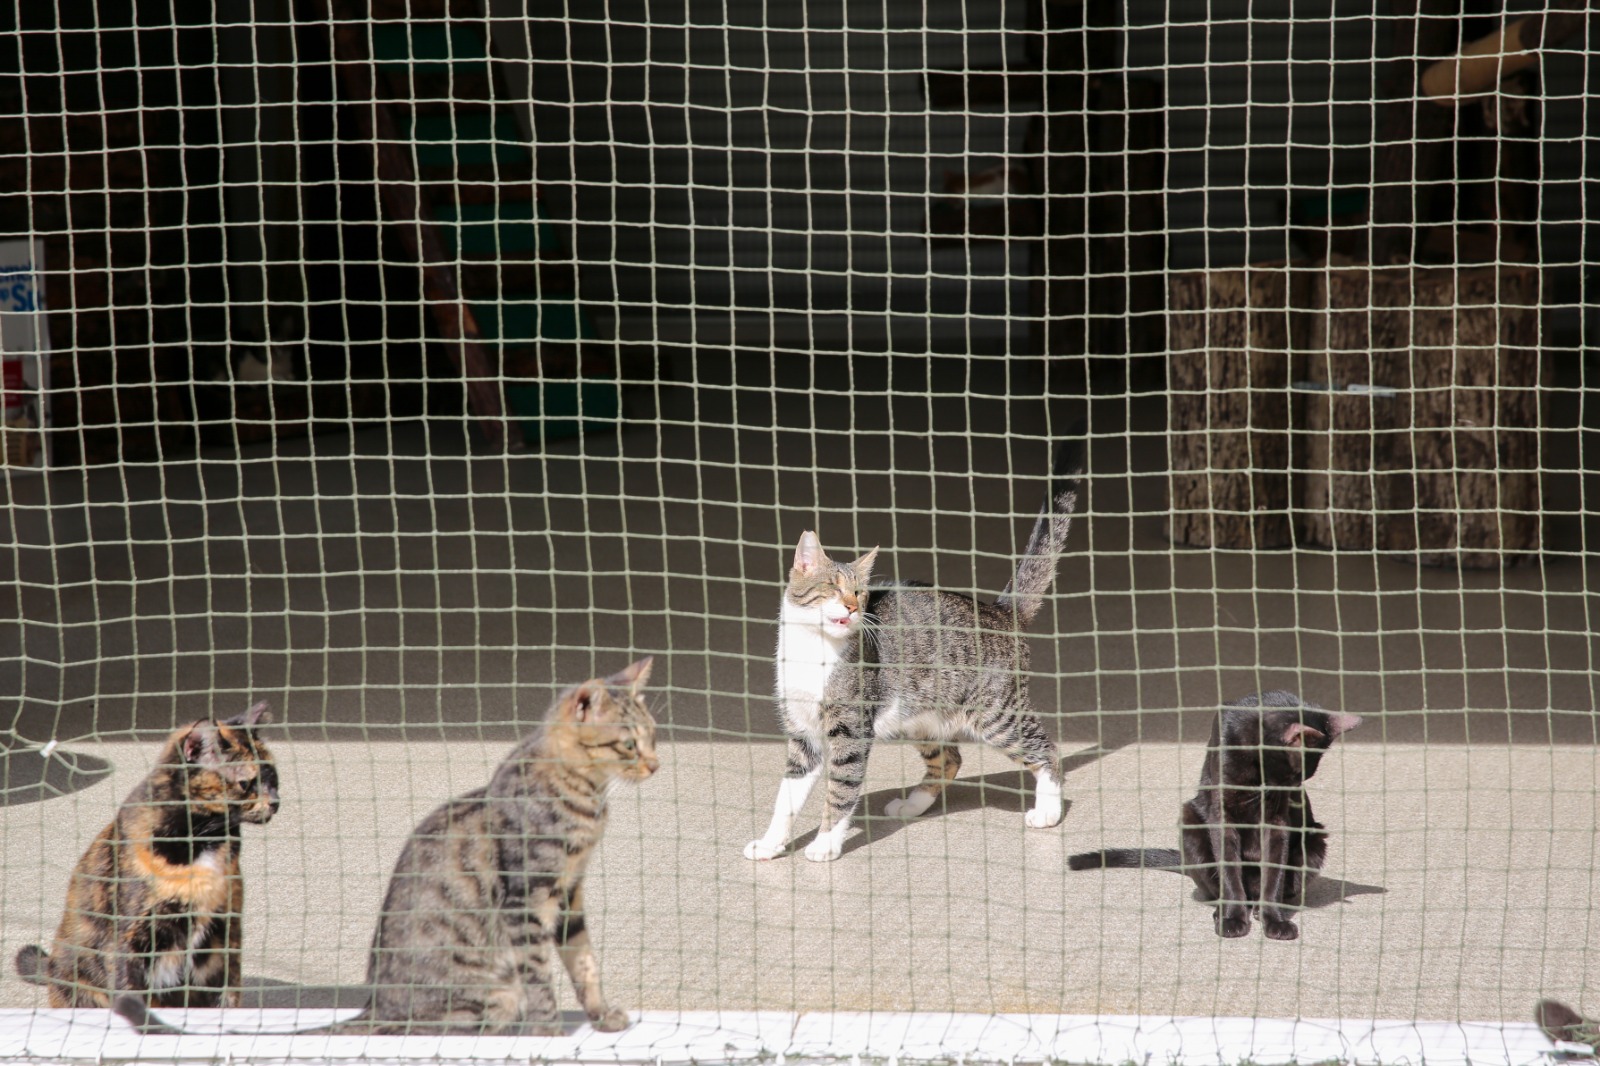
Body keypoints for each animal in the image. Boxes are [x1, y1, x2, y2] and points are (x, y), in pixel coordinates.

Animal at [17, 697, 280, 1005]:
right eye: (246, 783)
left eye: (274, 777)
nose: (276, 801)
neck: (202, 838)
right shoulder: (131, 939)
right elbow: (134, 997)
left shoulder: (225, 935)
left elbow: (227, 997)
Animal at [116, 656, 659, 1030]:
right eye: (629, 743)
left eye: (653, 735)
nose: (656, 764)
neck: (585, 801)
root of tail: (372, 1007)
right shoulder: (527, 897)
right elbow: (542, 976)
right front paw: (550, 1031)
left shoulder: (569, 894)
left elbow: (585, 963)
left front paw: (602, 1016)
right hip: (487, 990)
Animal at [748, 432, 1088, 857]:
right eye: (833, 587)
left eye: (859, 592)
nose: (852, 607)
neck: (814, 647)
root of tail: (999, 611)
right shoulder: (802, 732)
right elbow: (787, 798)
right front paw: (770, 845)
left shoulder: (850, 731)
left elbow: (840, 791)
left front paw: (825, 845)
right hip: (917, 719)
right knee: (950, 759)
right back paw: (912, 806)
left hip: (996, 715)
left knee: (1046, 751)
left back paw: (1048, 812)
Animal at [1075, 685, 1363, 934]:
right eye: (1293, 775)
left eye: (1301, 778)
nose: (1295, 797)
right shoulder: (1222, 814)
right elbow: (1229, 872)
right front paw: (1233, 918)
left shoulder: (1276, 821)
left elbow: (1274, 874)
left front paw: (1274, 920)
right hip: (1190, 822)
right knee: (1220, 888)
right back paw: (1225, 911)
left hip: (1314, 840)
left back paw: (1257, 908)